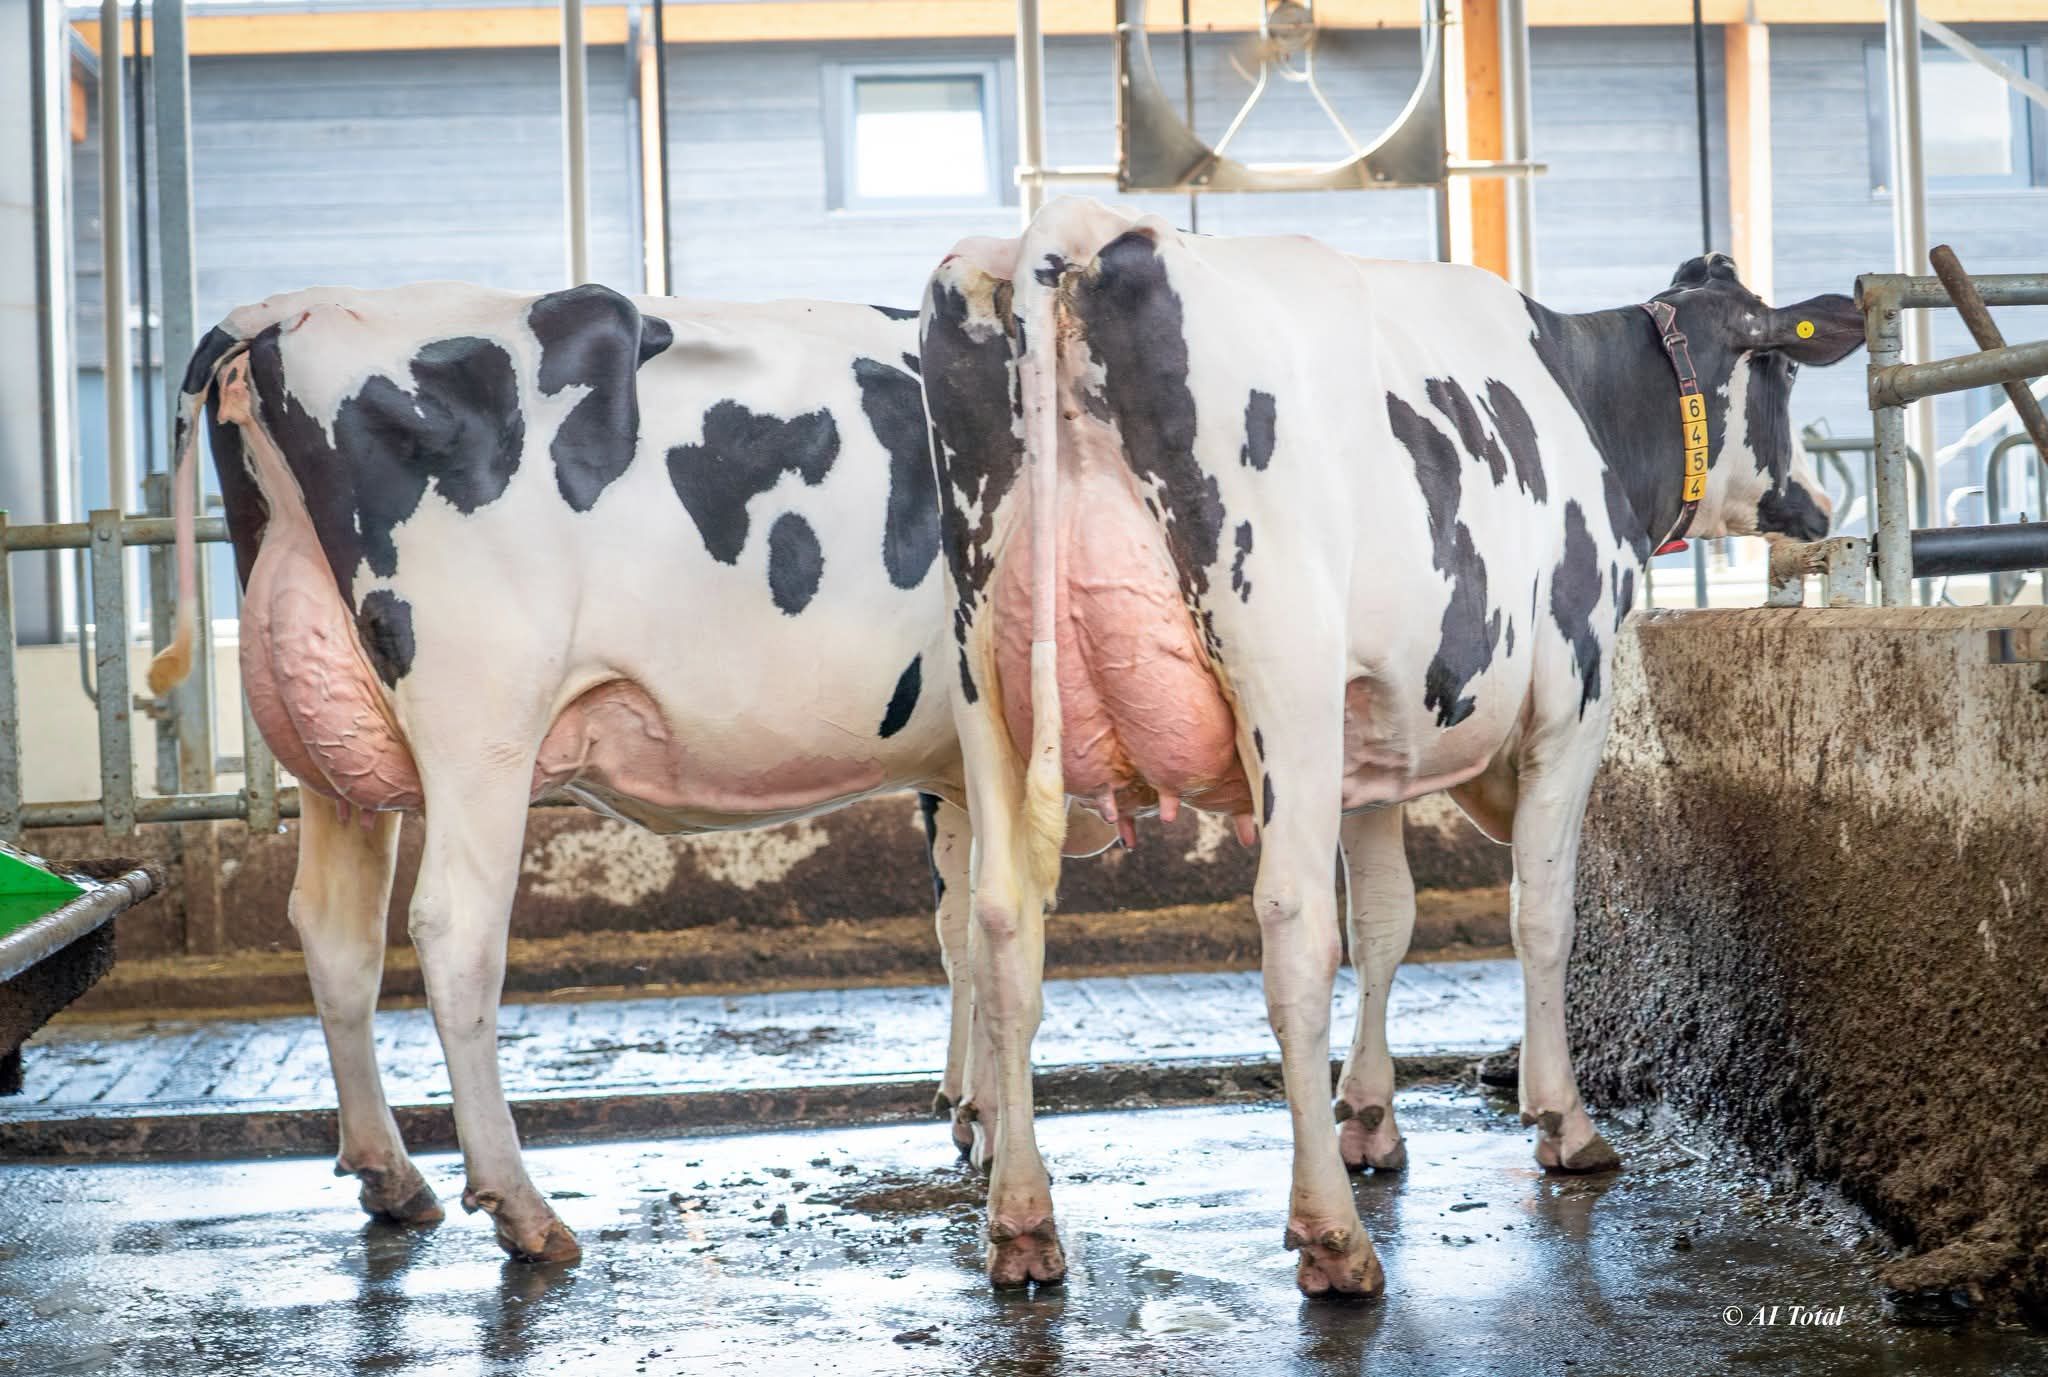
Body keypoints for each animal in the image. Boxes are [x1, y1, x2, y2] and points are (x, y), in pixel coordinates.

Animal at [146, 283, 1065, 1263]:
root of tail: (288, 310)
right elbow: (1008, 940)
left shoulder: (954, 765)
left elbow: (963, 930)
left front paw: (975, 1115)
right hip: (483, 726)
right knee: (454, 932)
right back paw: (521, 1207)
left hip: (335, 742)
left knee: (335, 931)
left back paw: (390, 1176)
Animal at [919, 197, 1863, 1295]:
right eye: (1781, 369)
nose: (1817, 506)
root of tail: (1082, 225)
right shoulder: (1574, 695)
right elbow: (1542, 914)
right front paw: (1562, 1118)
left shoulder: (1365, 736)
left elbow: (1385, 920)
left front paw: (1370, 1115)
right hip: (1278, 672)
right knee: (1291, 932)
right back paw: (1330, 1236)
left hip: (987, 683)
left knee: (1002, 927)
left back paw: (1022, 1221)